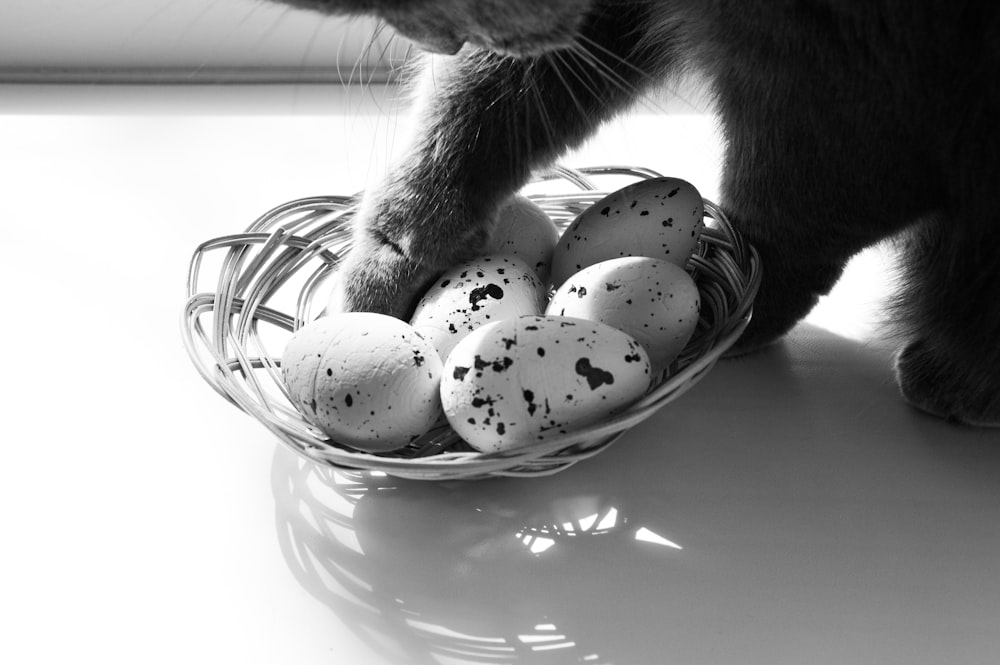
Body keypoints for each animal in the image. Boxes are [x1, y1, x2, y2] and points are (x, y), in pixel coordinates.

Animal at [274, 0, 1000, 428]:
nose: (438, 40)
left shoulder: (847, 71)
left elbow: (793, 216)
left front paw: (734, 305)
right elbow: (472, 118)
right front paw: (385, 270)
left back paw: (957, 376)